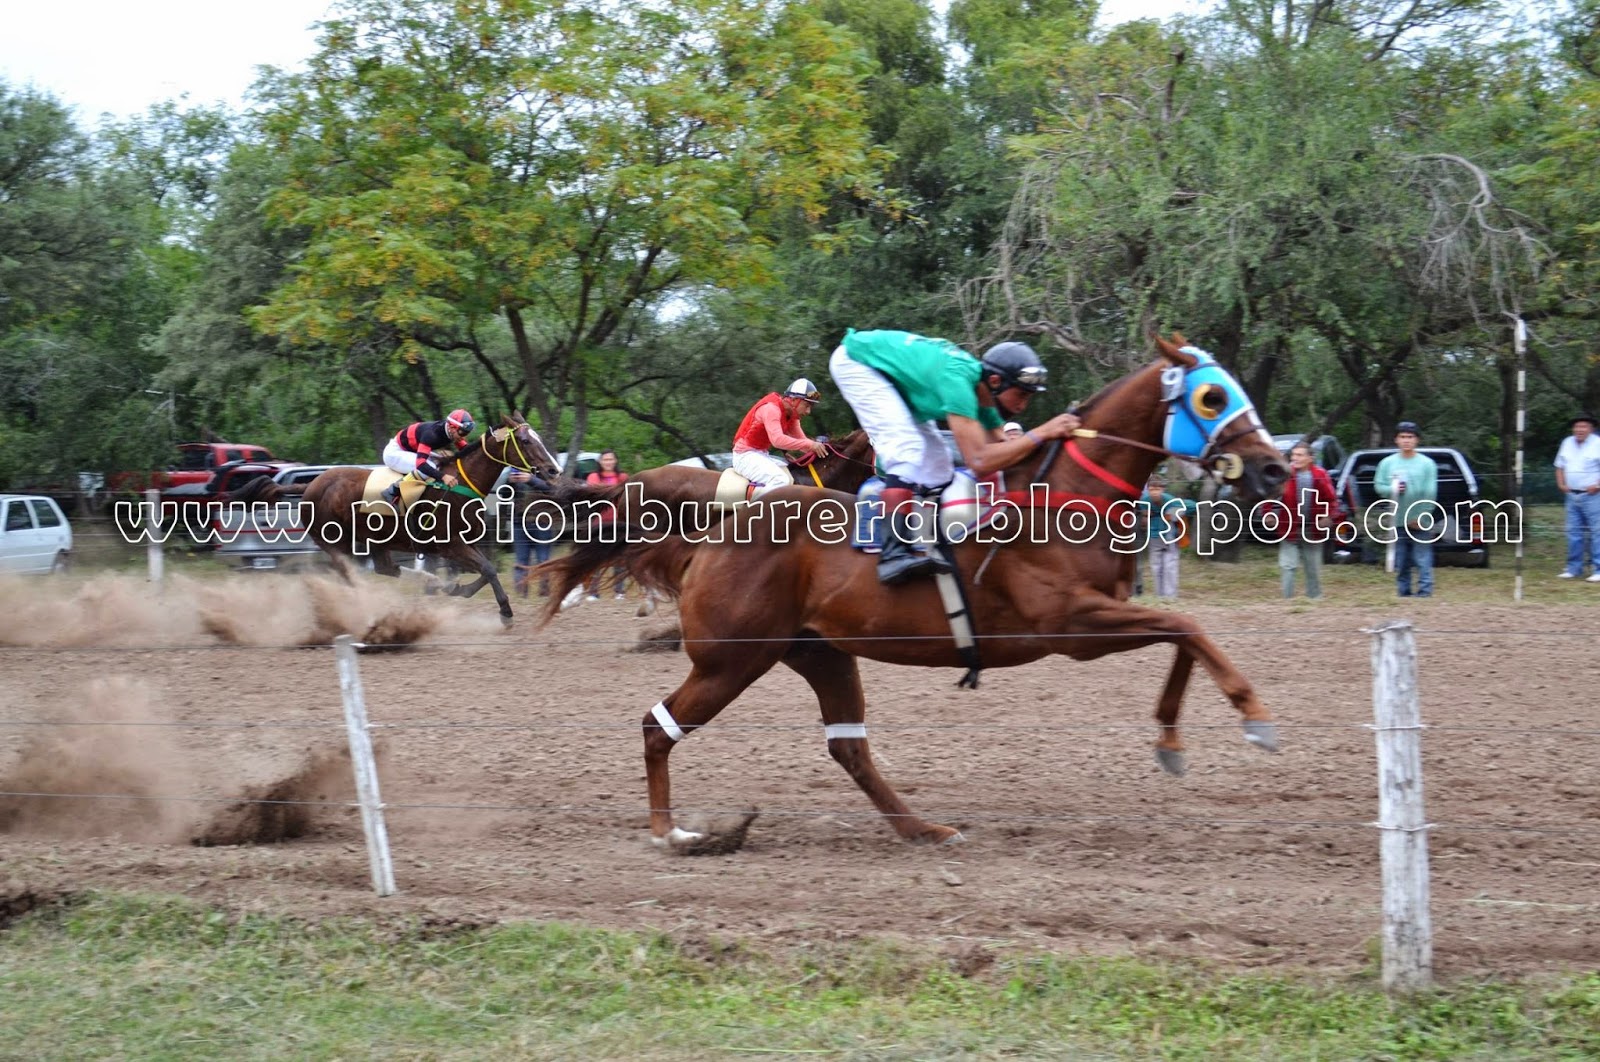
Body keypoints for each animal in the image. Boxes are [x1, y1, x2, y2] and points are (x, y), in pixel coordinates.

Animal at [233, 409, 563, 626]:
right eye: (527, 442)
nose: (554, 471)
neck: (462, 483)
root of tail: (311, 484)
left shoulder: (465, 542)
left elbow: (485, 570)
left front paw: (457, 588)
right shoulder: (449, 544)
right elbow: (488, 569)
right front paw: (505, 612)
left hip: (375, 540)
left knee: (385, 569)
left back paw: (429, 582)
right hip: (335, 541)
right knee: (349, 574)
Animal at [544, 335, 1292, 850]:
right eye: (1212, 397)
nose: (1274, 467)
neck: (1065, 495)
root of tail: (714, 530)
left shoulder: (1097, 615)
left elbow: (1182, 632)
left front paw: (1173, 741)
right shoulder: (1071, 625)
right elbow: (1189, 628)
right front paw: (1254, 717)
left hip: (818, 653)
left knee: (848, 746)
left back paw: (923, 829)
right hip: (732, 658)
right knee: (658, 725)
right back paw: (671, 833)